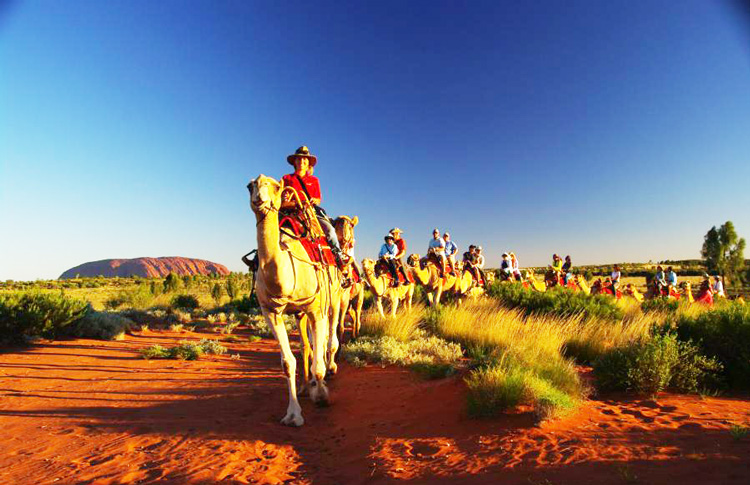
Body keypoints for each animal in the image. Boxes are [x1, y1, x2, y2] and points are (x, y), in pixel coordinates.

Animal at [250, 174, 334, 424]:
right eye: (249, 185)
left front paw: (322, 395)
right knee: (306, 345)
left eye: (276, 186)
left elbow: (319, 361)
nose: (259, 197)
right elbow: (288, 362)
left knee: (323, 342)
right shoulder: (270, 311)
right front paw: (293, 414)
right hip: (299, 312)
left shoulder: (317, 309)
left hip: (331, 301)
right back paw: (306, 386)